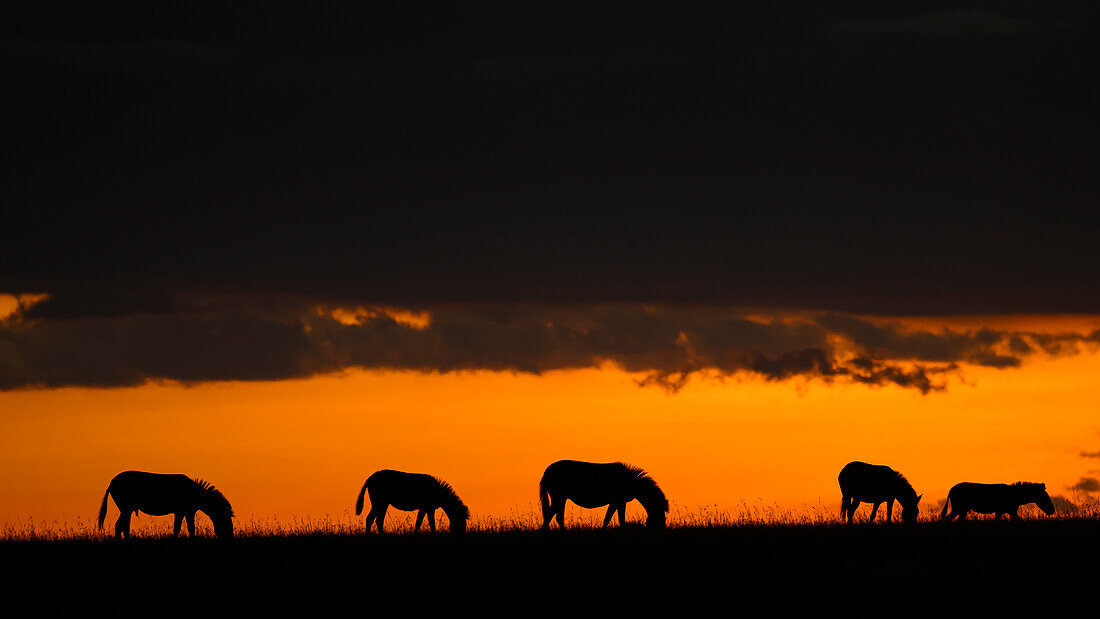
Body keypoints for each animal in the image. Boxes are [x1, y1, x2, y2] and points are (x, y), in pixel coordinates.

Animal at [99, 472, 236, 540]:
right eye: (227, 522)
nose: (231, 539)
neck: (197, 495)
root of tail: (112, 481)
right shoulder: (187, 511)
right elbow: (191, 528)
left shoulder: (181, 511)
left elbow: (177, 528)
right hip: (126, 507)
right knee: (120, 525)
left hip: (127, 509)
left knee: (124, 526)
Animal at [534, 461, 664, 529]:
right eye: (661, 517)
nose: (662, 532)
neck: (632, 484)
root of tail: (547, 471)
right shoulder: (620, 500)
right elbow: (621, 519)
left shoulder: (615, 501)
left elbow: (607, 518)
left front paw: (602, 532)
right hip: (557, 494)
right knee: (550, 514)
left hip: (562, 497)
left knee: (557, 516)